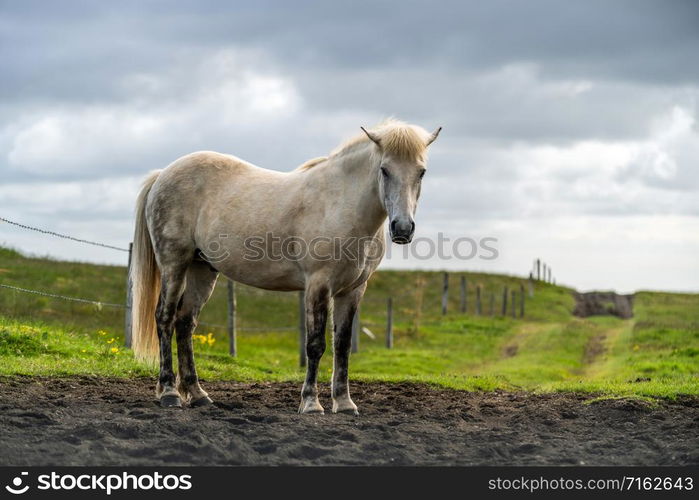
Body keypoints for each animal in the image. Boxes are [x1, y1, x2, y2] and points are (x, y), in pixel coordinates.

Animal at [129, 118, 440, 414]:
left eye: (421, 172)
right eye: (384, 170)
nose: (402, 228)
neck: (339, 204)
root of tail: (163, 174)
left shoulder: (353, 290)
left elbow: (342, 346)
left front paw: (344, 403)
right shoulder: (318, 285)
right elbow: (315, 345)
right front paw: (311, 404)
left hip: (202, 269)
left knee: (184, 323)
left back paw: (198, 395)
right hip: (174, 264)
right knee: (165, 318)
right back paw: (170, 393)